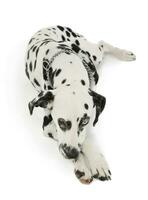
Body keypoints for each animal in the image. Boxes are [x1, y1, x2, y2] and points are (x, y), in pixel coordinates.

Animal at [25, 25, 135, 184]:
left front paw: (97, 162)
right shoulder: (48, 125)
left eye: (84, 121)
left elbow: (85, 138)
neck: (67, 65)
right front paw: (83, 166)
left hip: (92, 53)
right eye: (61, 122)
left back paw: (124, 53)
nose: (72, 154)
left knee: (102, 44)